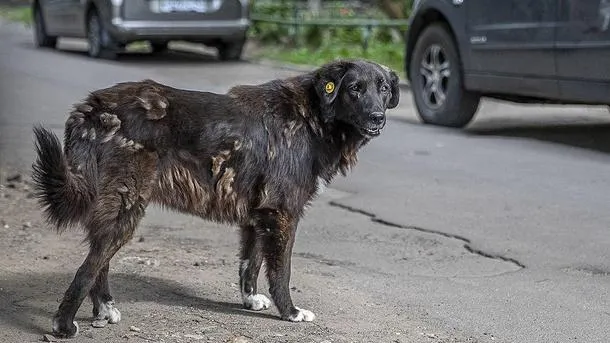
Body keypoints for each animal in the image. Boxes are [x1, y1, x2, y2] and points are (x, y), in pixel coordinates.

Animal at [32, 59, 400, 338]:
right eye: (355, 89)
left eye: (383, 89)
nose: (378, 118)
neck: (313, 115)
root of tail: (91, 108)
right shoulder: (282, 213)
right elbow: (281, 272)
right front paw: (290, 312)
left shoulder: (258, 216)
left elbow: (250, 264)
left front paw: (250, 301)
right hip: (126, 207)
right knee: (89, 267)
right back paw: (64, 324)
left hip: (116, 207)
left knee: (99, 260)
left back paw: (104, 308)